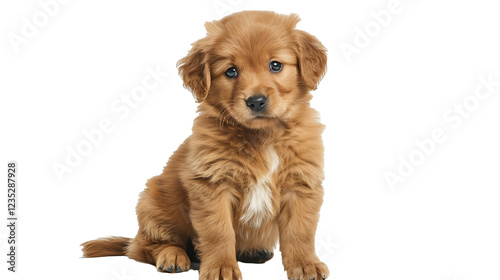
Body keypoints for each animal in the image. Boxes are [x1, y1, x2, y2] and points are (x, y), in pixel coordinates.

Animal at [82, 10, 328, 280]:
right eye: (231, 72)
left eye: (276, 65)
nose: (256, 101)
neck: (261, 136)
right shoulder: (212, 185)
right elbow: (218, 231)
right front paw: (221, 266)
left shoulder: (301, 184)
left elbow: (300, 232)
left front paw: (305, 264)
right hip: (154, 204)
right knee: (144, 247)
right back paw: (173, 256)